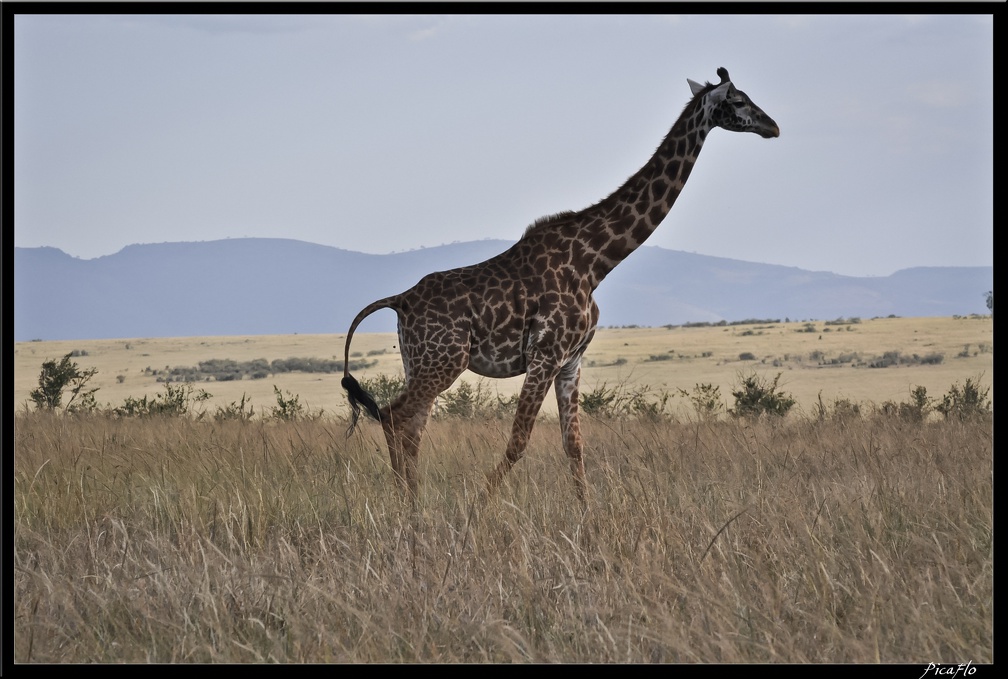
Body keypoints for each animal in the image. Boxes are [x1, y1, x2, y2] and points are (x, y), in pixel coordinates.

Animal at [344, 67, 778, 501]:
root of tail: (400, 299)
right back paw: (408, 506)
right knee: (394, 416)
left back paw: (415, 503)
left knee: (412, 426)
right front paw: (479, 507)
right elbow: (518, 441)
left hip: (419, 362)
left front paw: (589, 514)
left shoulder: (571, 360)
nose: (772, 126)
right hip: (443, 361)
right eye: (739, 101)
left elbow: (574, 445)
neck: (596, 262)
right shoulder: (545, 354)